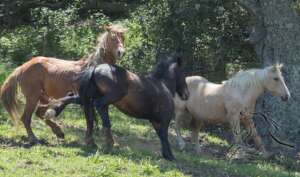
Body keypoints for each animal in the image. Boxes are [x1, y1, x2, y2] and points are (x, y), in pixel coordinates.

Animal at [44, 54, 189, 160]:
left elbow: (162, 136)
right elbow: (164, 136)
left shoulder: (155, 121)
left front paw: (167, 155)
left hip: (88, 97)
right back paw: (109, 142)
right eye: (183, 73)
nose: (186, 94)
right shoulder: (163, 120)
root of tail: (96, 69)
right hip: (111, 97)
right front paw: (170, 156)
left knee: (77, 103)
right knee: (99, 107)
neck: (162, 85)